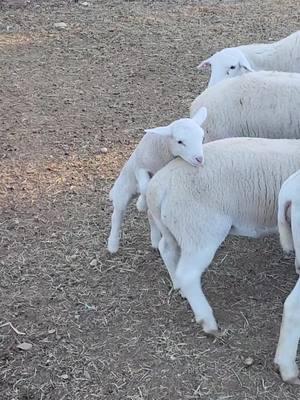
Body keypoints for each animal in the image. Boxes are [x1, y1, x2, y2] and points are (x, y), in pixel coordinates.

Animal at [106, 106, 207, 253]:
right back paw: (112, 244)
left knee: (150, 215)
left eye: (202, 137)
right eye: (180, 141)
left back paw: (154, 238)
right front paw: (143, 200)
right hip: (123, 192)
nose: (199, 159)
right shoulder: (140, 168)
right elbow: (144, 186)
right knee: (117, 215)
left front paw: (143, 202)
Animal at [146, 138, 300, 344]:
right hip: (201, 231)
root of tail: (159, 186)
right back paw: (208, 322)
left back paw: (179, 287)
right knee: (188, 274)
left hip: (173, 227)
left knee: (168, 250)